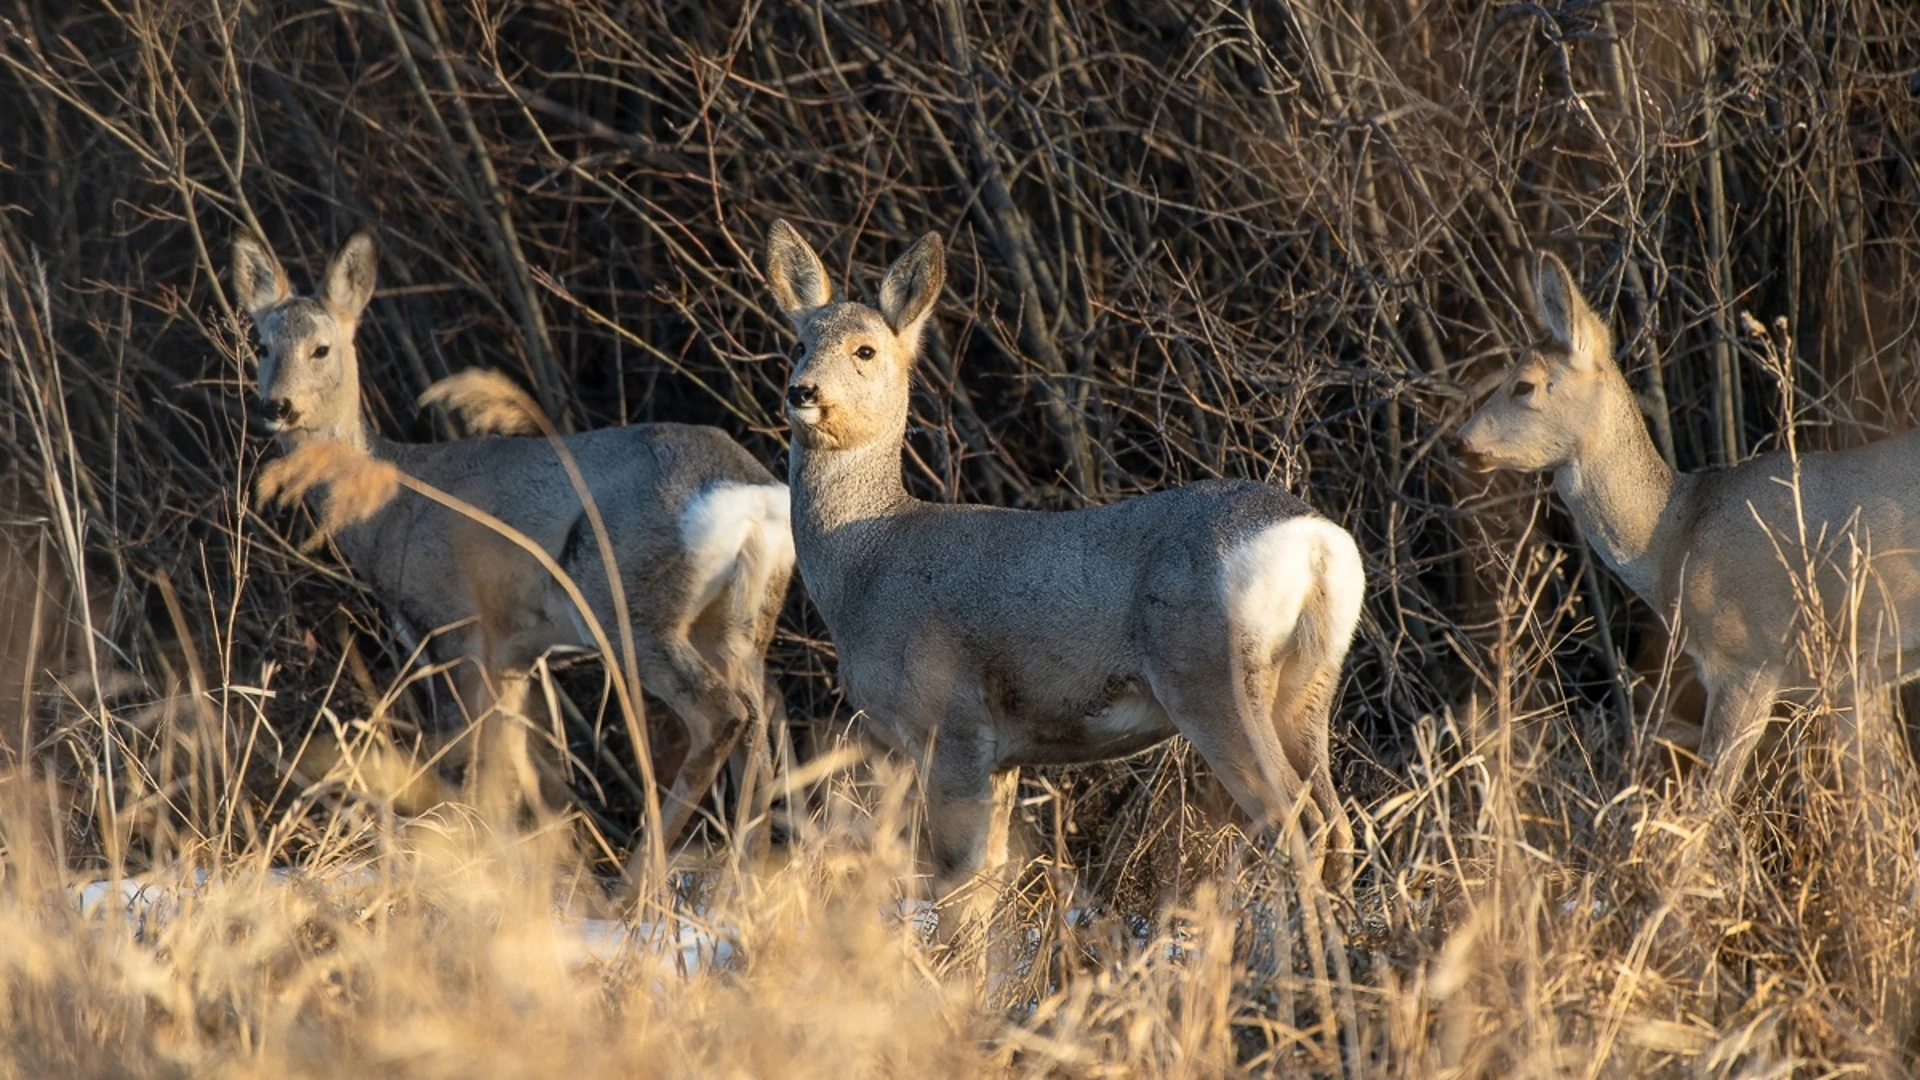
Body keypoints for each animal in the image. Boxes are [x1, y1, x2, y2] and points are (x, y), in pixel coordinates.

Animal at [234, 226, 794, 841]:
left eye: (321, 348)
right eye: (261, 346)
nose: (275, 405)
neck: (390, 504)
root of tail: (751, 493)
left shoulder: (452, 624)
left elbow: (459, 760)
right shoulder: (513, 651)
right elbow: (502, 768)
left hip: (630, 605)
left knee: (722, 715)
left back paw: (644, 864)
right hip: (738, 622)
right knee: (764, 715)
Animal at [764, 219, 1367, 891]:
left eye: (865, 351)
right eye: (799, 344)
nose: (801, 390)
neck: (868, 561)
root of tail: (1314, 543)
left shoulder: (950, 718)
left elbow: (958, 875)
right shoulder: (1002, 753)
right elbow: (991, 874)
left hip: (1213, 675)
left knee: (1298, 824)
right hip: (1309, 683)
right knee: (1338, 823)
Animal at [1451, 249, 1920, 791]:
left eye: (1523, 385)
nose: (1459, 443)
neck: (1674, 535)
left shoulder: (1747, 659)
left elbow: (1706, 797)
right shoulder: (1853, 678)